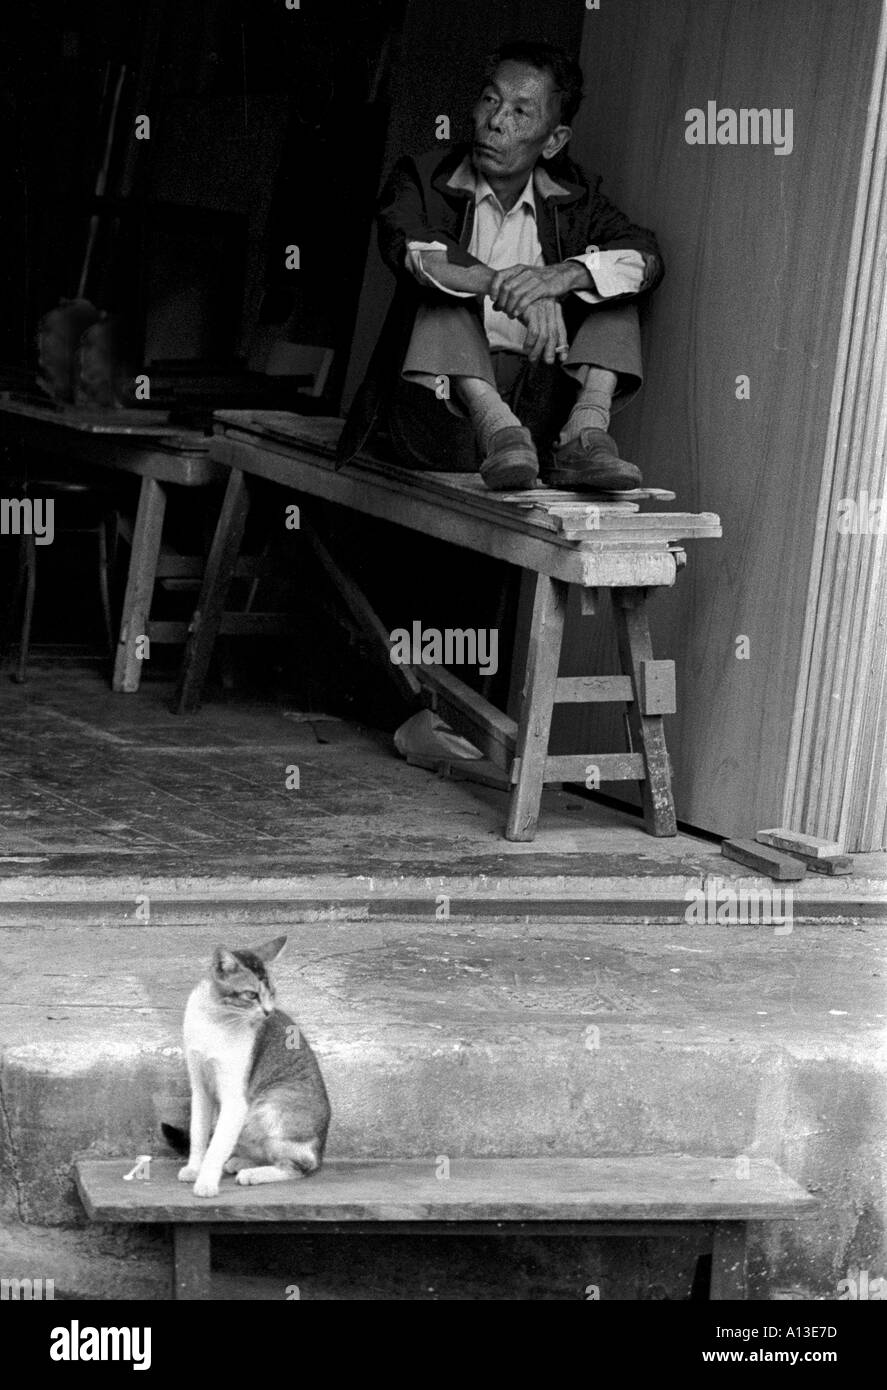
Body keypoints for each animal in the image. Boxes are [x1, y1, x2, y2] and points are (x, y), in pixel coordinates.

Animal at [165, 939, 332, 1200]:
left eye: (272, 994)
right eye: (251, 995)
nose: (268, 1012)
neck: (216, 1020)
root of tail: (321, 1150)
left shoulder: (235, 1099)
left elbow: (217, 1145)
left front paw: (206, 1183)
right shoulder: (200, 1088)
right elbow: (198, 1134)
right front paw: (194, 1168)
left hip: (271, 1104)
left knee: (298, 1166)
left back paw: (253, 1173)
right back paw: (241, 1162)